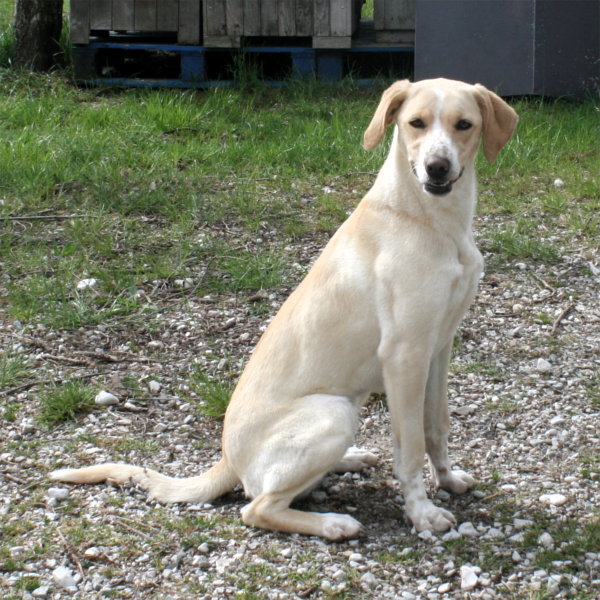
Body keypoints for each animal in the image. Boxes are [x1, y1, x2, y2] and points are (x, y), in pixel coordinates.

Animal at [51, 77, 516, 540]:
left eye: (464, 125)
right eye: (415, 123)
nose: (437, 167)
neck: (428, 220)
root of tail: (228, 461)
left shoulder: (437, 348)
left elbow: (436, 427)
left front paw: (449, 481)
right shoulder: (404, 356)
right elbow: (410, 448)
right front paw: (422, 513)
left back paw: (349, 460)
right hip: (334, 412)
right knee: (257, 507)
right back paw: (333, 523)